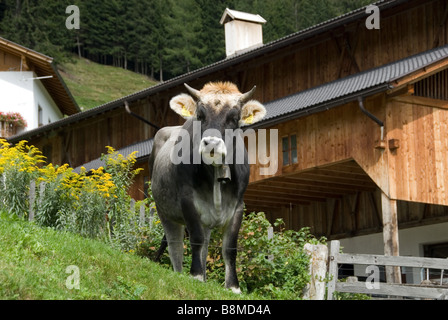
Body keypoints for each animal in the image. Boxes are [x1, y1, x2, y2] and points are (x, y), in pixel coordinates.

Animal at [149, 82, 266, 292]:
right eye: (200, 115)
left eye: (234, 118)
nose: (211, 143)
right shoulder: (187, 201)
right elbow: (195, 239)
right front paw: (195, 276)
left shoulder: (238, 206)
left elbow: (230, 248)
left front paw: (233, 286)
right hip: (164, 211)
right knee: (175, 245)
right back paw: (182, 273)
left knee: (204, 247)